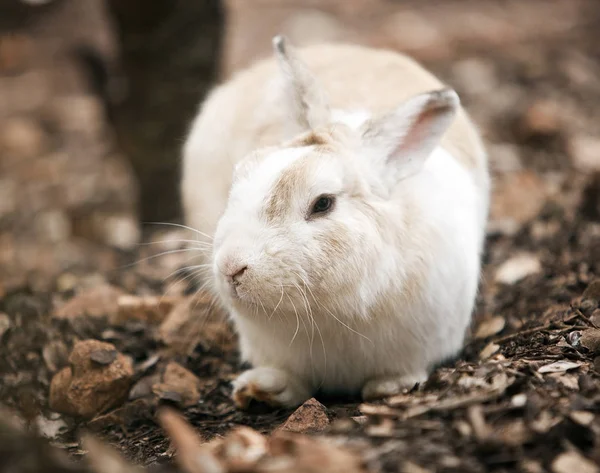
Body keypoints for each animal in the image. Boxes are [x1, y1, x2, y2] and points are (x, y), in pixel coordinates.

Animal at [180, 36, 490, 406]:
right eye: (239, 176)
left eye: (323, 204)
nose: (231, 267)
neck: (327, 313)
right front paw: (262, 388)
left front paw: (390, 388)